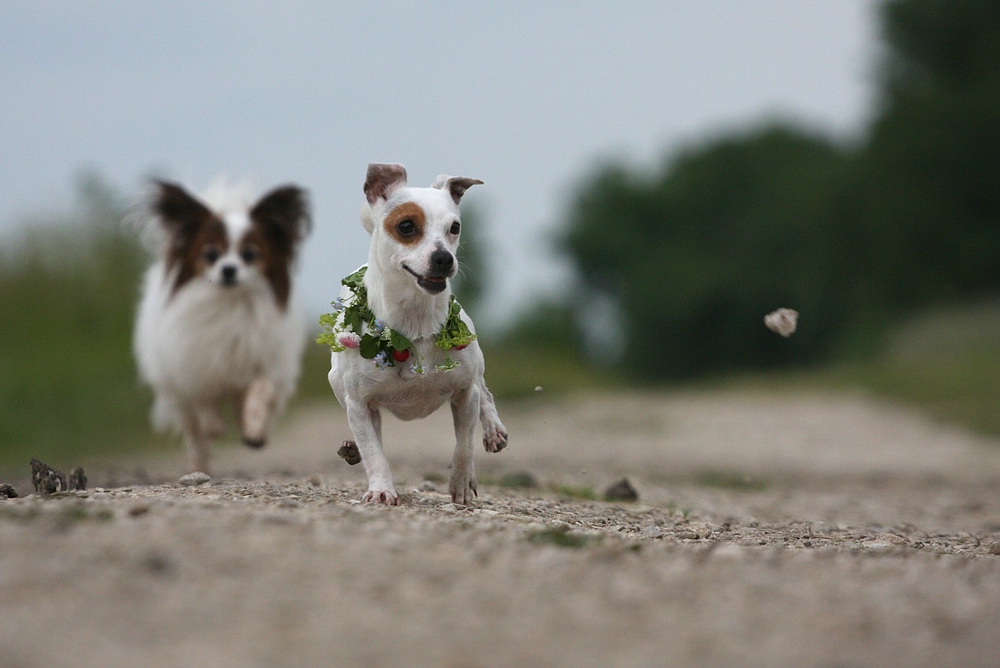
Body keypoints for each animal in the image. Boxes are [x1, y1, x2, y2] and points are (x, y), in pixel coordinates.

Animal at [135, 180, 310, 472]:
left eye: (250, 254)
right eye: (211, 254)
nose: (228, 269)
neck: (231, 305)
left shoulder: (265, 363)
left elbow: (260, 393)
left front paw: (255, 430)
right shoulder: (197, 368)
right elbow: (205, 404)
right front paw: (215, 427)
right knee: (195, 436)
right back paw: (199, 466)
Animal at [322, 163, 508, 506]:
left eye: (455, 227)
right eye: (406, 226)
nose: (444, 258)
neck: (415, 324)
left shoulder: (465, 392)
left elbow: (464, 444)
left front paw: (462, 482)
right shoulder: (360, 404)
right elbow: (374, 451)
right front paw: (381, 488)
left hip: (476, 365)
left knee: (485, 393)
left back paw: (493, 430)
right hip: (337, 381)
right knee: (370, 436)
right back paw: (353, 449)